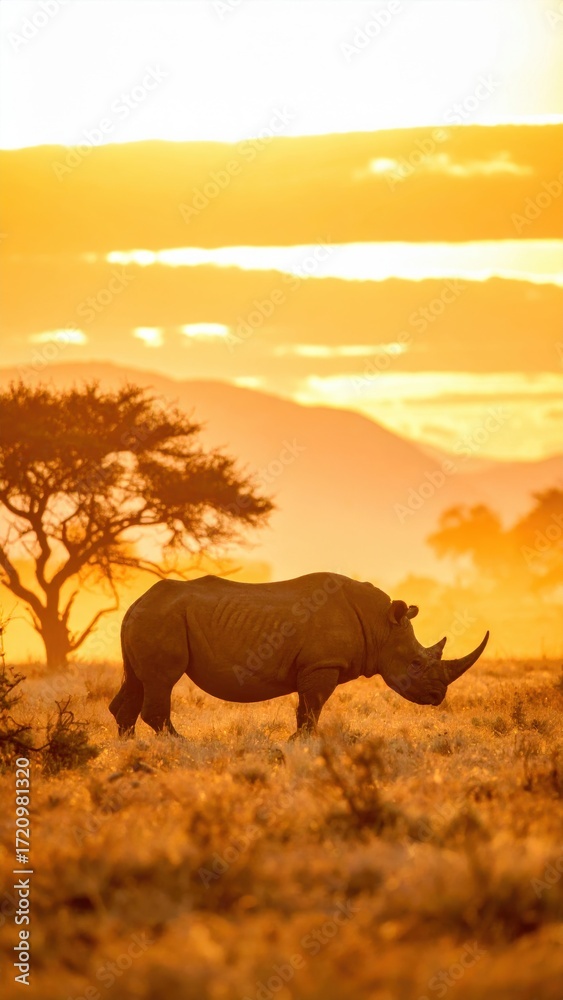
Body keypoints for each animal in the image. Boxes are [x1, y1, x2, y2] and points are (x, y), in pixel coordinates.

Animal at [109, 572, 489, 738]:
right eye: (416, 663)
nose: (438, 696)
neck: (381, 625)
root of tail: (134, 605)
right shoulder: (322, 665)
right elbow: (311, 708)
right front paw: (300, 743)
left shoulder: (316, 666)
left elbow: (306, 710)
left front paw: (297, 743)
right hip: (161, 619)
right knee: (162, 682)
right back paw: (180, 745)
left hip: (150, 618)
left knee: (137, 683)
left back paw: (130, 751)